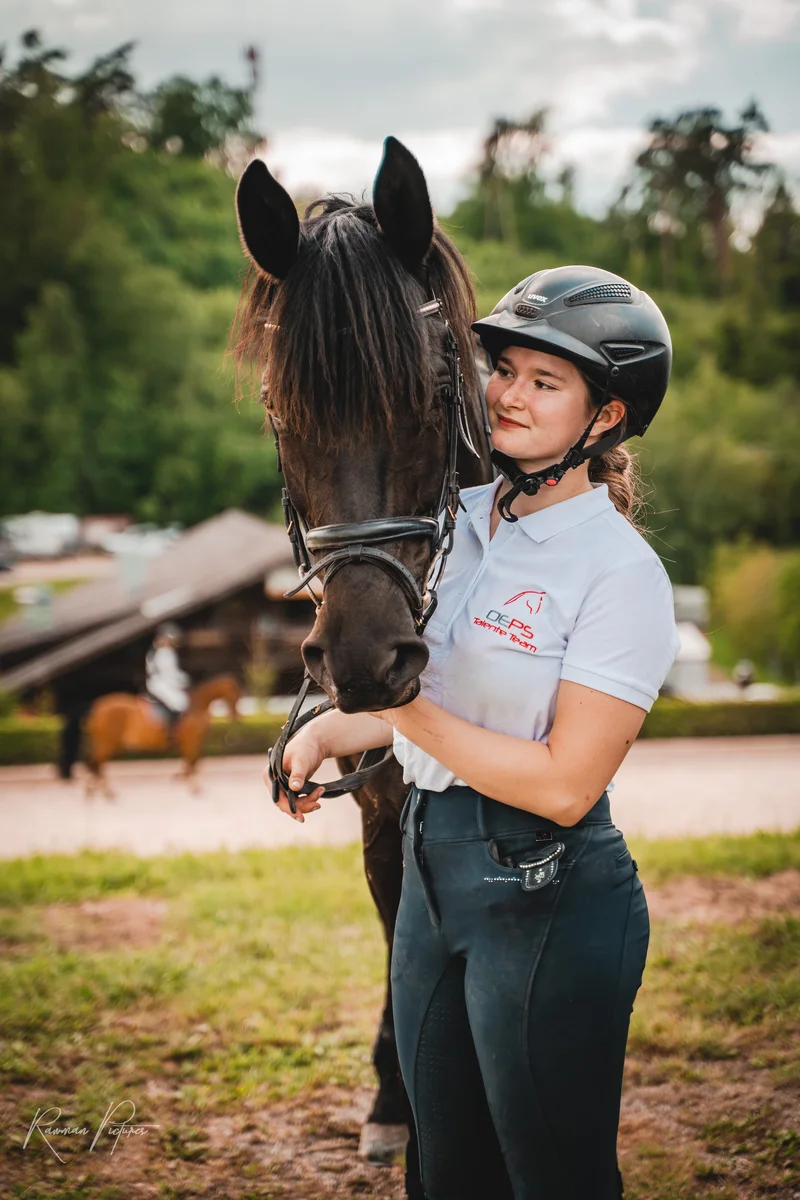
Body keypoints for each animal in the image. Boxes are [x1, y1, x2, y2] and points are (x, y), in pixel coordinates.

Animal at [82, 673, 241, 798]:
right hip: (108, 744)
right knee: (96, 764)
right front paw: (193, 787)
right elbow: (192, 761)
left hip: (107, 744)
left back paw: (93, 791)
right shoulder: (190, 741)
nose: (235, 715)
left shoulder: (190, 742)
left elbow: (192, 761)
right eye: (233, 691)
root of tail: (98, 708)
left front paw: (183, 779)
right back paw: (104, 792)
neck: (196, 705)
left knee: (95, 763)